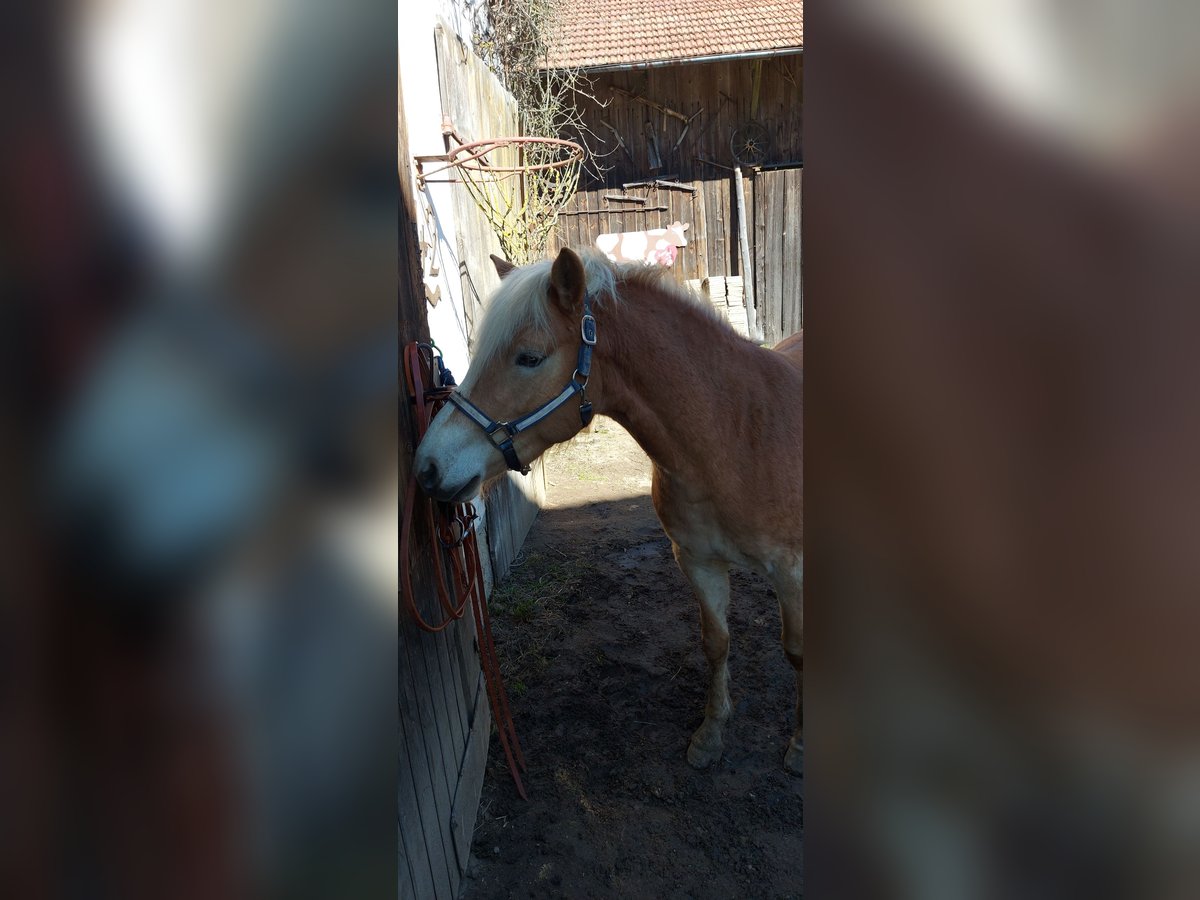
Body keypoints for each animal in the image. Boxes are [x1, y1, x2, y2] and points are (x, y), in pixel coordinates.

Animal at [415, 248, 806, 777]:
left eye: (530, 358)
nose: (427, 467)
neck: (738, 435)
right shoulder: (698, 561)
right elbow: (716, 642)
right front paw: (710, 735)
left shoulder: (793, 572)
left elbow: (798, 653)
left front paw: (801, 745)